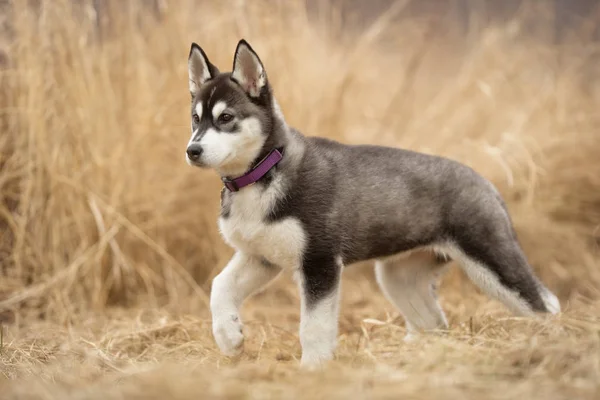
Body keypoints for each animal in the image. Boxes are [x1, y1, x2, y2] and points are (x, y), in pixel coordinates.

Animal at [185, 39, 560, 368]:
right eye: (196, 118)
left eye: (226, 118)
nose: (192, 150)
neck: (262, 173)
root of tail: (484, 181)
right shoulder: (260, 256)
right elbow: (220, 286)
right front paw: (229, 337)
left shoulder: (319, 262)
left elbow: (314, 327)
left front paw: (313, 369)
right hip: (398, 277)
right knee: (434, 323)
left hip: (494, 263)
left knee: (545, 303)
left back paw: (552, 341)